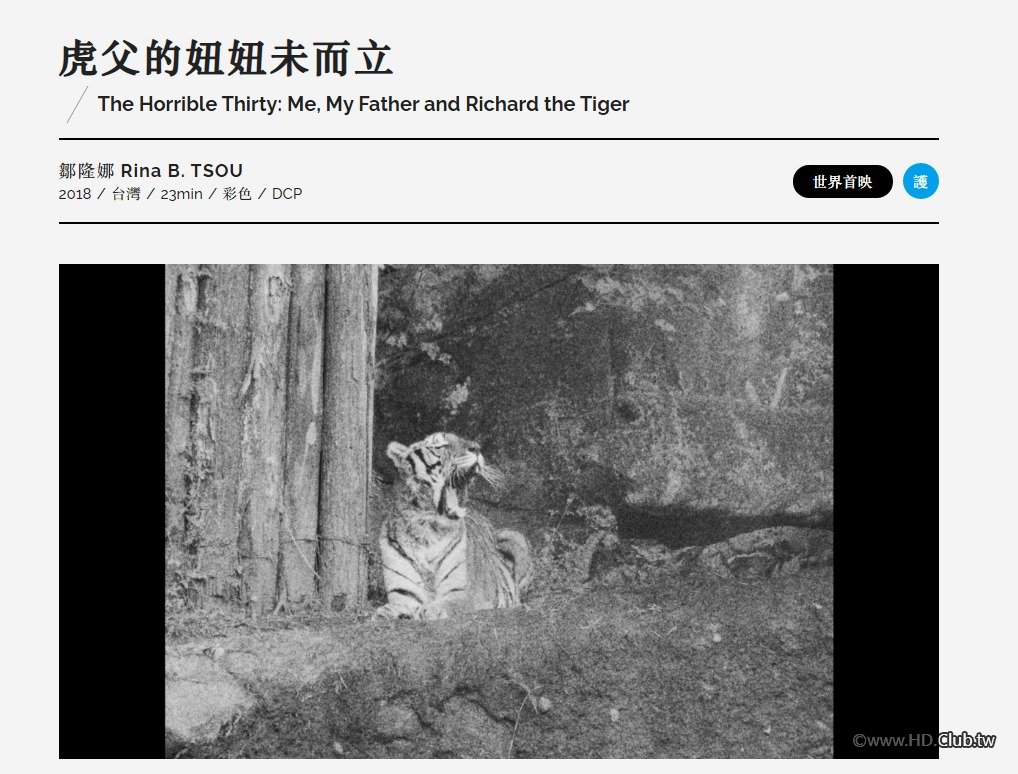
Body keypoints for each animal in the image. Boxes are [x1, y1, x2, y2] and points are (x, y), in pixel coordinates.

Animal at [374, 432, 531, 620]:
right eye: (439, 445)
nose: (476, 448)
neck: (426, 530)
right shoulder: (403, 593)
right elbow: (395, 606)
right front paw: (385, 612)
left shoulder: (461, 592)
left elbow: (445, 604)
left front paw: (428, 610)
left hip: (515, 537)